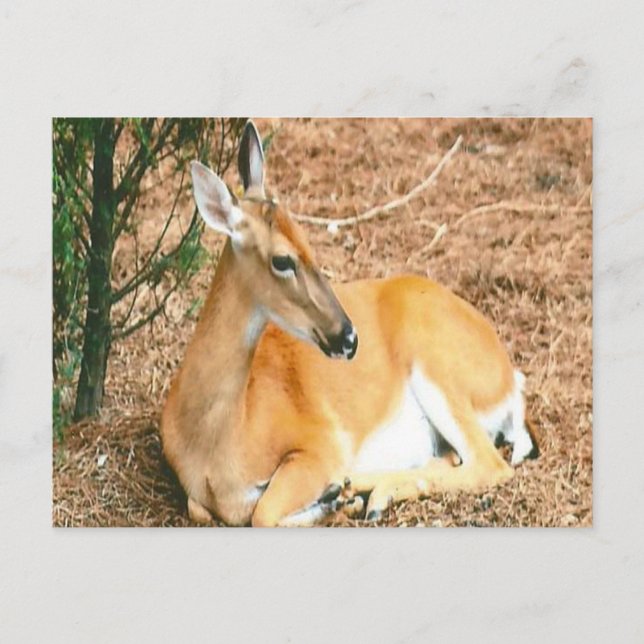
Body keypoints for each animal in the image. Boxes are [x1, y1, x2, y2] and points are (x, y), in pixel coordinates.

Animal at [160, 120, 539, 527]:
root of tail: (509, 380)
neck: (218, 443)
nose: (349, 337)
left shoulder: (321, 443)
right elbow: (205, 508)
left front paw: (333, 500)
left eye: (308, 240)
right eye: (282, 260)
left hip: (438, 364)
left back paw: (363, 492)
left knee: (489, 463)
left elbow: (263, 512)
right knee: (456, 457)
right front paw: (335, 500)